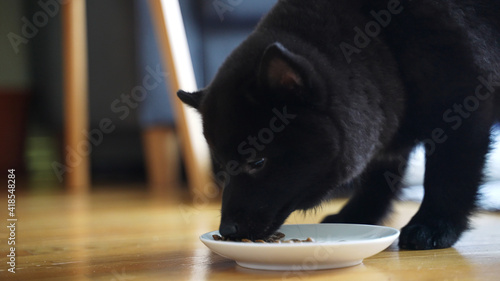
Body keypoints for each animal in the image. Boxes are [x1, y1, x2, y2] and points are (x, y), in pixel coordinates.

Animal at [178, 0, 498, 249]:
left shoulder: (463, 107)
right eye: (222, 166)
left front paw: (434, 224)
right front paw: (357, 215)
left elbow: (449, 176)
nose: (228, 231)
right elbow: (378, 176)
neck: (384, 41)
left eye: (257, 162)